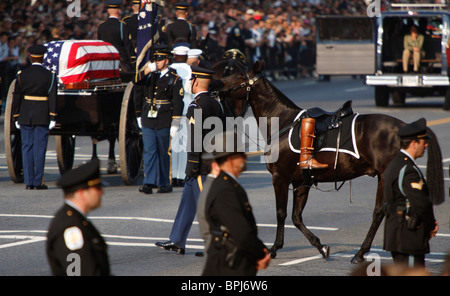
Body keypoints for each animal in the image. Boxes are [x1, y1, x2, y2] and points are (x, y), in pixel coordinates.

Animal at [216, 60, 444, 264]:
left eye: (237, 76)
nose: (215, 85)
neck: (284, 121)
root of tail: (405, 126)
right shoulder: (302, 182)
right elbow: (296, 217)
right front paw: (320, 246)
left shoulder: (280, 178)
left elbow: (281, 214)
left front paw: (273, 249)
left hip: (386, 177)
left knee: (382, 212)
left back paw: (363, 253)